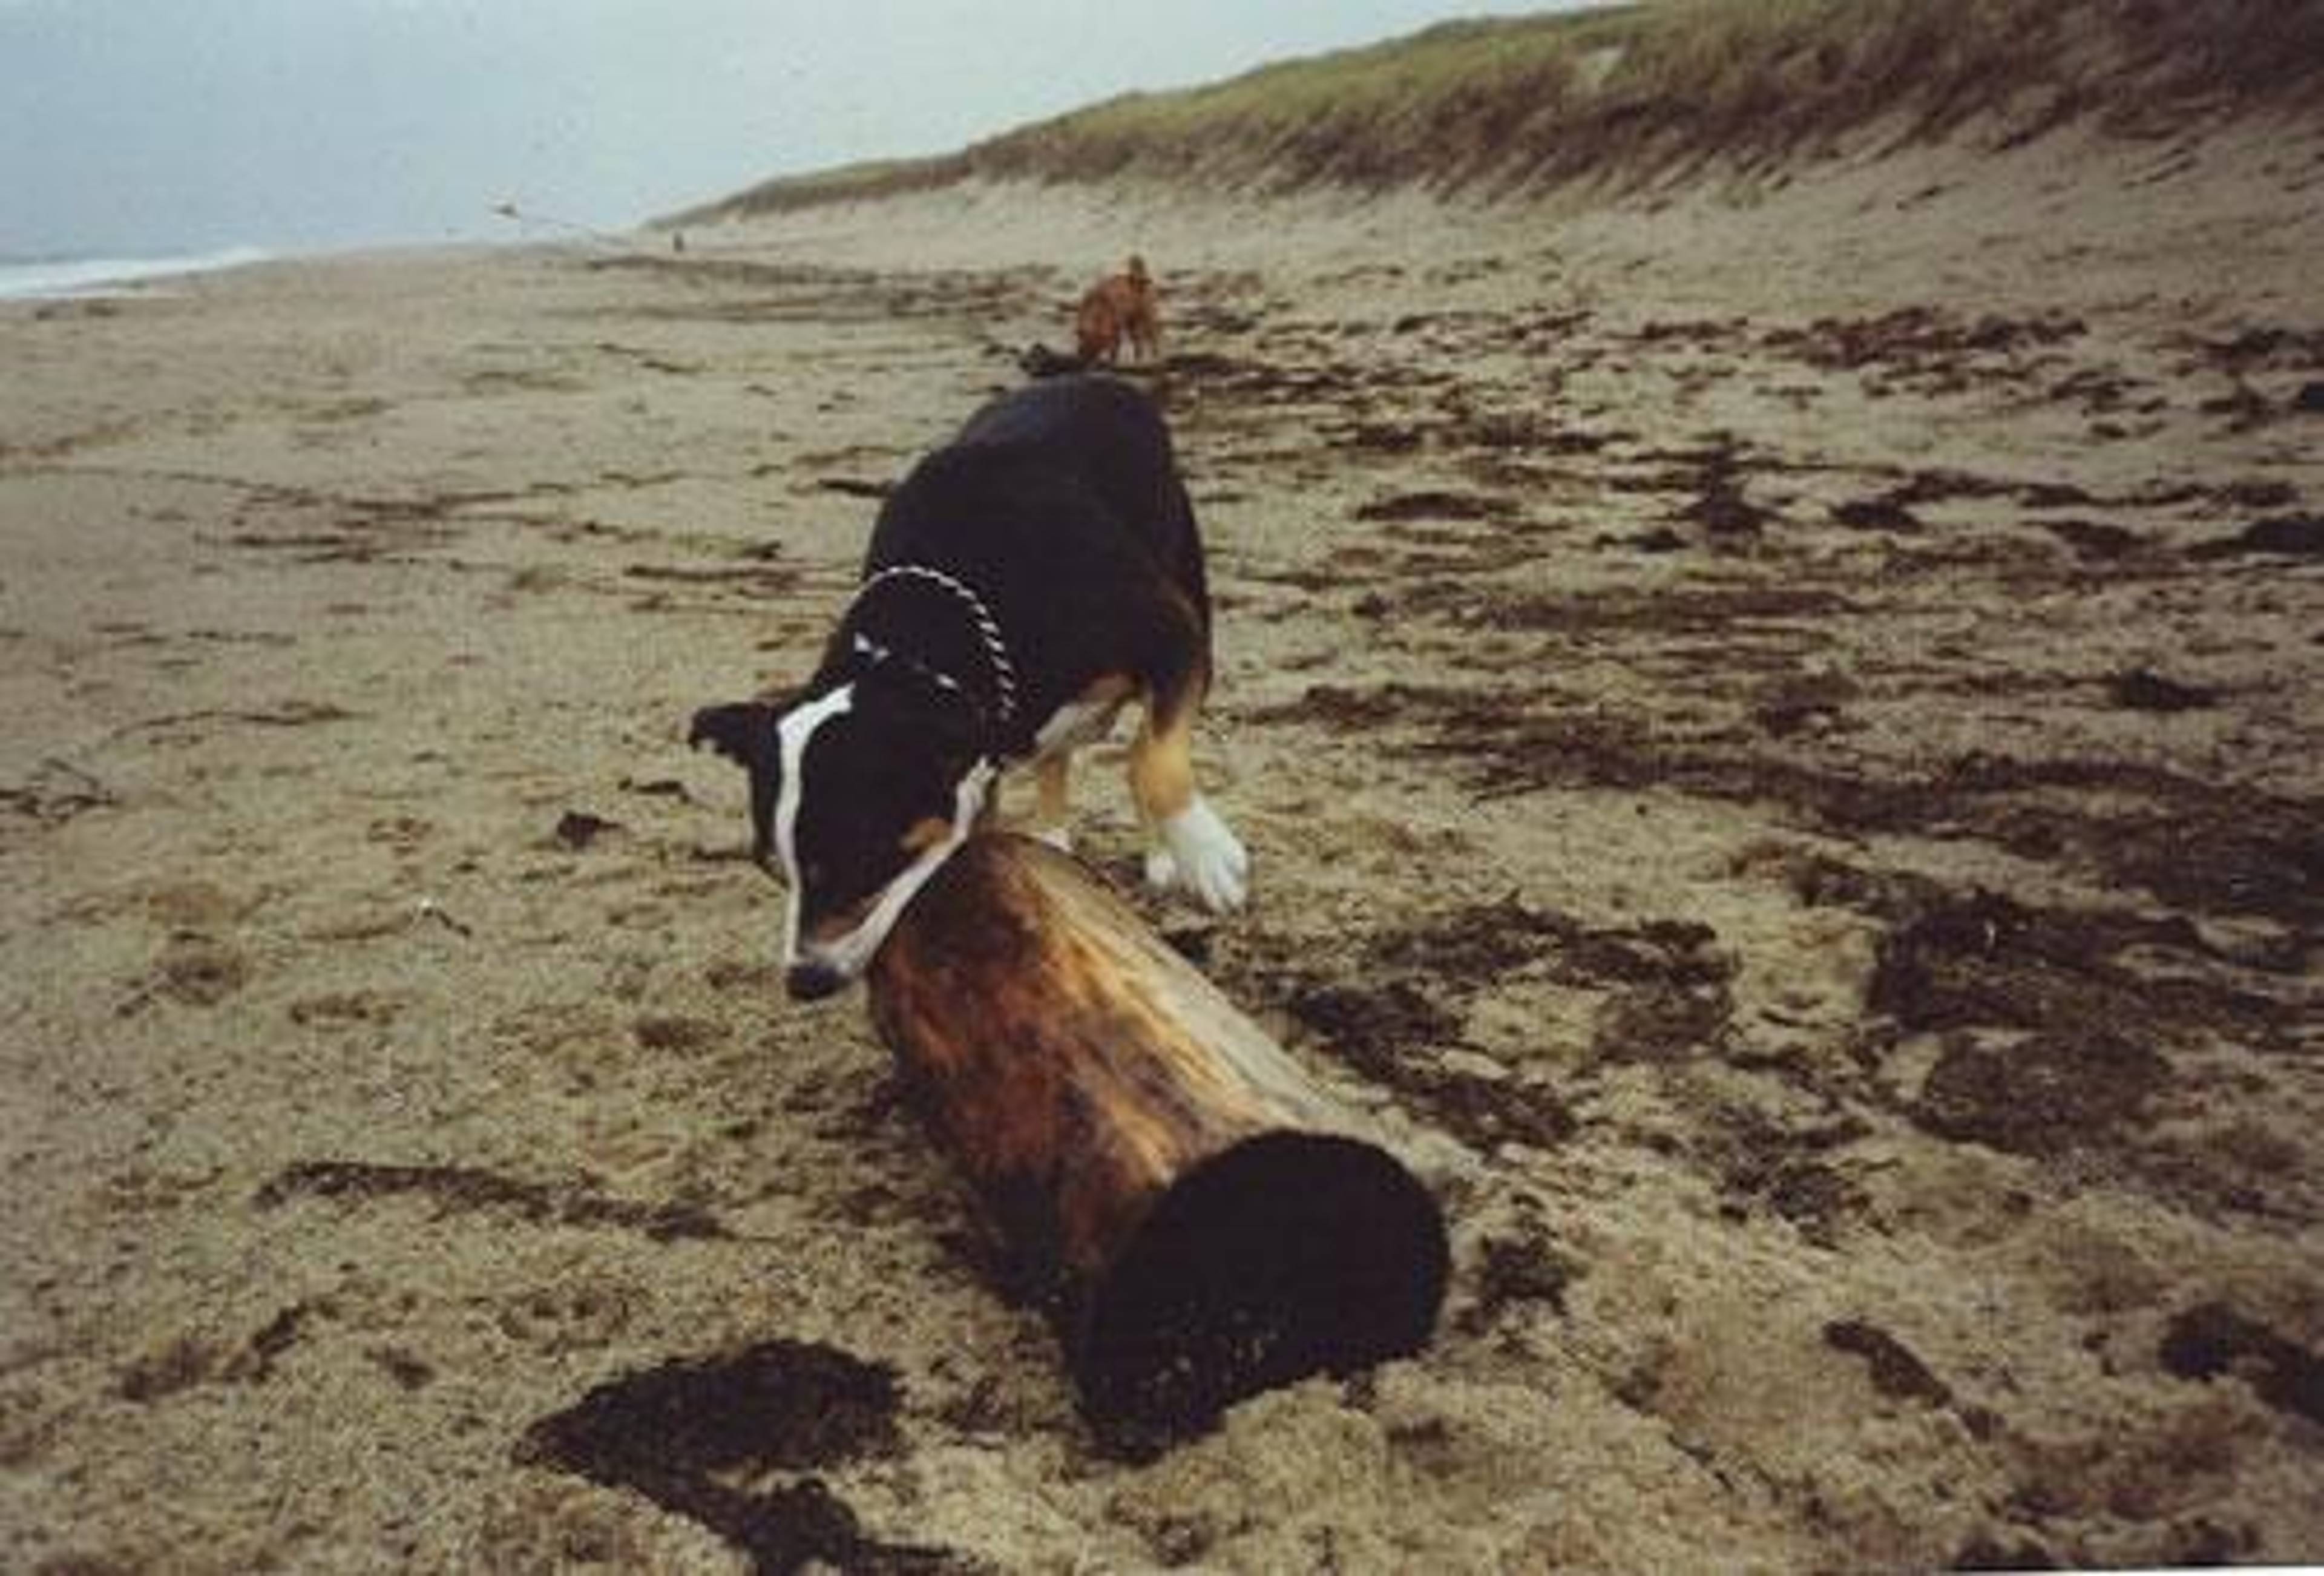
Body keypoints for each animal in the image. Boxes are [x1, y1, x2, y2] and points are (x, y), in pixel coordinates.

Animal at [692, 374, 1255, 999]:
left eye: (863, 866)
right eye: (772, 870)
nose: (804, 981)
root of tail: (1093, 379)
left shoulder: (1173, 637)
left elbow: (1152, 761)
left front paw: (1205, 855)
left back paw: (1162, 854)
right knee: (1057, 755)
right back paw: (1054, 841)